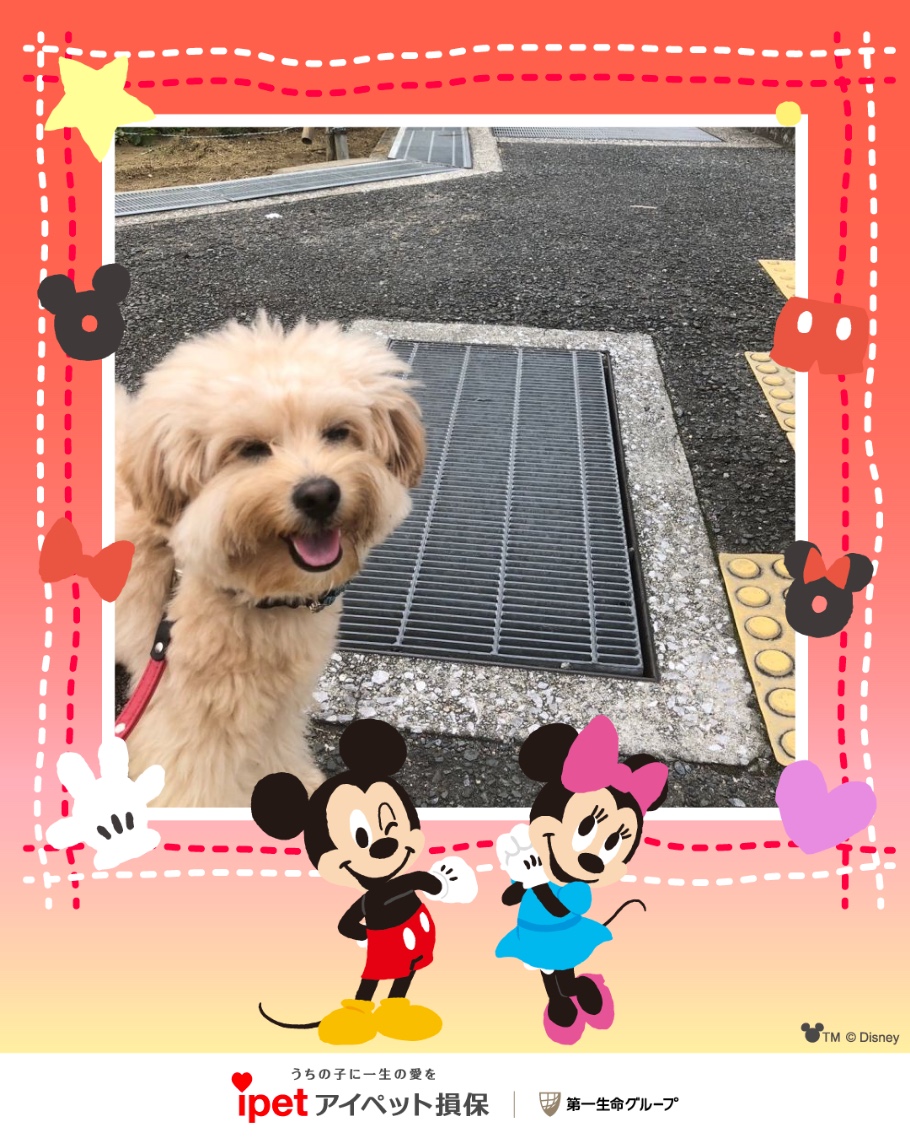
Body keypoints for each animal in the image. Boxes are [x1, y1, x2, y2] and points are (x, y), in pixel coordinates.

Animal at [115, 314, 425, 807]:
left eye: (338, 432)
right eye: (250, 449)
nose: (319, 494)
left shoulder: (276, 703)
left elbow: (275, 749)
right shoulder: (182, 712)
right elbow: (193, 785)